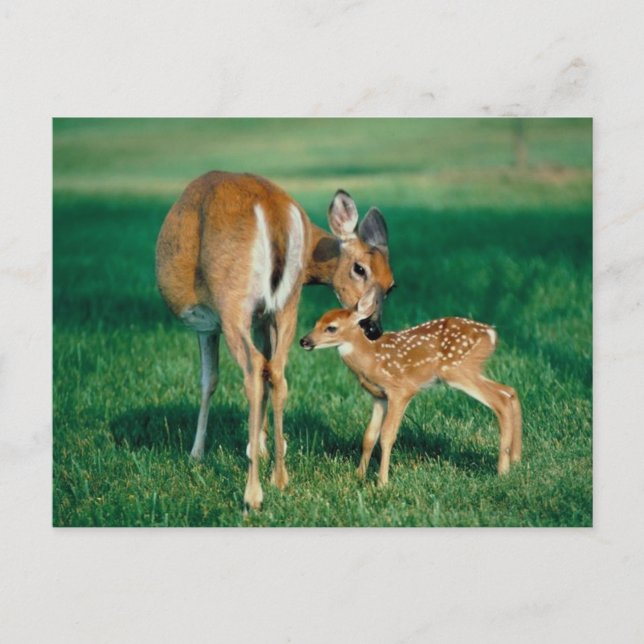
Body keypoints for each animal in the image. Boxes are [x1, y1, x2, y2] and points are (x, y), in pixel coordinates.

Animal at [155, 172, 395, 510]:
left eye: (390, 286)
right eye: (359, 269)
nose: (373, 328)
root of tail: (273, 211)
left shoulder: (208, 325)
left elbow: (208, 381)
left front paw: (198, 453)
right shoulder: (265, 317)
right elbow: (267, 376)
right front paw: (264, 445)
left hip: (233, 299)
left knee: (254, 370)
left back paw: (253, 494)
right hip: (288, 303)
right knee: (277, 371)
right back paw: (280, 477)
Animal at [299, 289, 522, 486]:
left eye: (331, 328)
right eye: (316, 322)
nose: (304, 341)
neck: (372, 359)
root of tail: (492, 334)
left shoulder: (401, 389)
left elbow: (387, 436)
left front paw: (382, 482)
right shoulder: (379, 396)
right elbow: (369, 436)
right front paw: (358, 476)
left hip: (457, 369)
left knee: (501, 399)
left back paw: (502, 470)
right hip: (471, 369)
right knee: (510, 391)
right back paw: (516, 459)